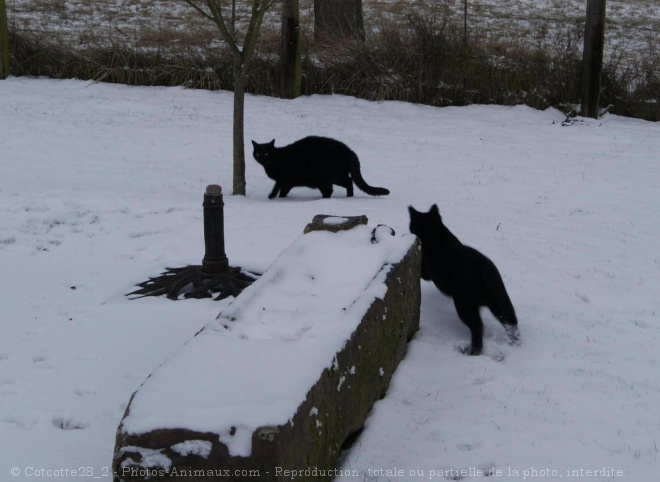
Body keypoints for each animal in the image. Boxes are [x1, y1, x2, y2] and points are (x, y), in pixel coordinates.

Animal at [250, 136, 390, 200]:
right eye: (258, 154)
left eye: (266, 153)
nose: (262, 159)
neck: (276, 159)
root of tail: (350, 152)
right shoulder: (288, 182)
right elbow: (282, 190)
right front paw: (279, 198)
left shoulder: (284, 179)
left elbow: (277, 187)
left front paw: (272, 197)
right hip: (337, 176)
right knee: (349, 182)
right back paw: (348, 197)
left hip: (325, 178)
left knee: (331, 189)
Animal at [408, 203, 520, 354]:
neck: (436, 232)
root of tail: (483, 270)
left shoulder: (426, 271)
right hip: (500, 300)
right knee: (510, 320)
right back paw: (514, 343)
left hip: (464, 304)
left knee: (478, 327)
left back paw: (472, 351)